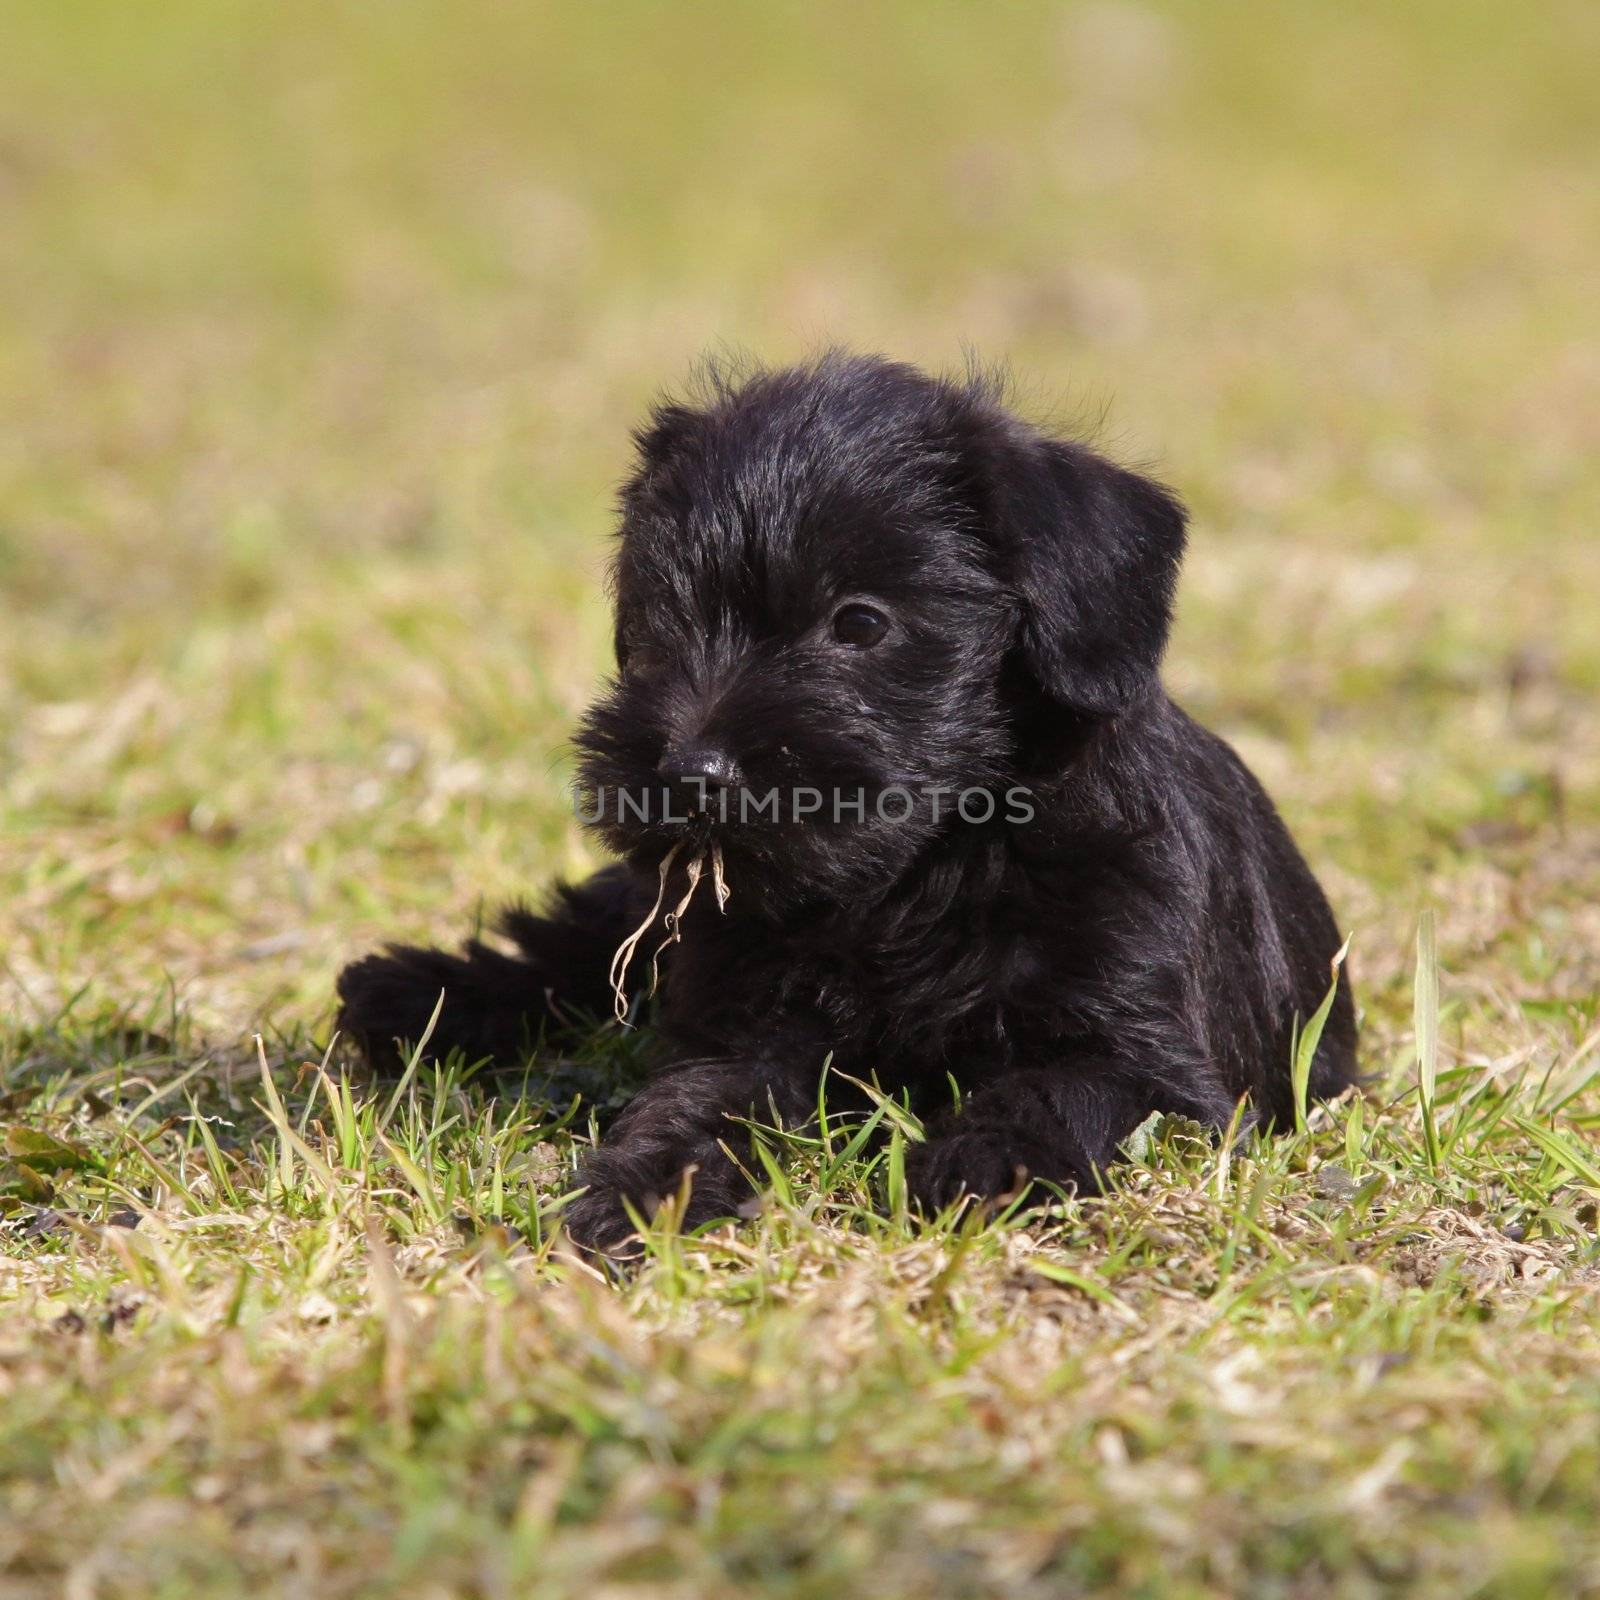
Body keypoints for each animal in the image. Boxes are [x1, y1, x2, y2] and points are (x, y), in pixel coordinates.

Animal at [337, 353, 1350, 1248]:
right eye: (656, 624)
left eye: (859, 623)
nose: (689, 770)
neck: (922, 874)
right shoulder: (746, 1025)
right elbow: (697, 1102)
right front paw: (641, 1190)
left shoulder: (1151, 1058)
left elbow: (1056, 1090)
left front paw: (982, 1166)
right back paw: (411, 997)